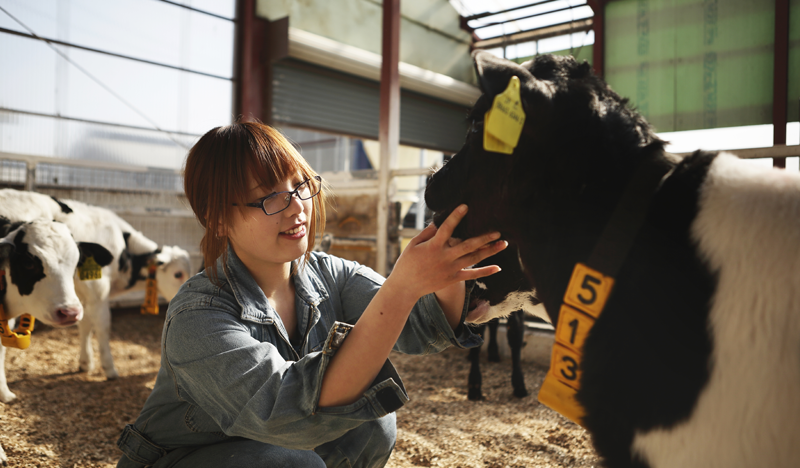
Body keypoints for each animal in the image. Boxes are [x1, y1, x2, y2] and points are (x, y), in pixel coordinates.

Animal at [0, 190, 191, 380]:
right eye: (178, 274)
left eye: (76, 261)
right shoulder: (99, 290)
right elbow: (102, 326)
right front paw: (109, 368)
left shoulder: (79, 295)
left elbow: (84, 324)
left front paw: (85, 363)